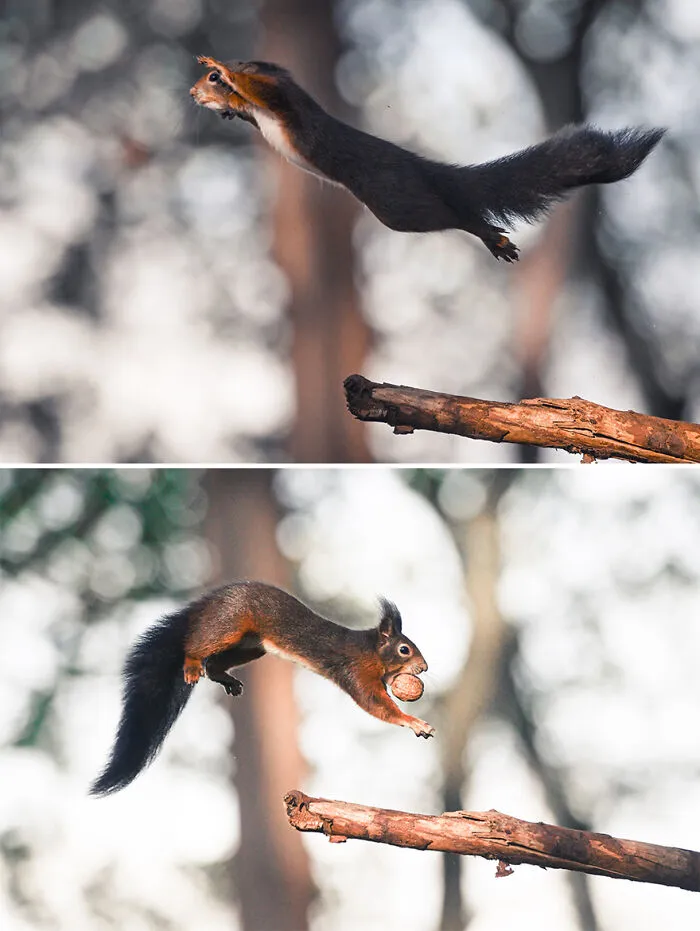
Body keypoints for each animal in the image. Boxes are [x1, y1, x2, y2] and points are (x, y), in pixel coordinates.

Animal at [91, 580, 433, 795]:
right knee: (195, 645)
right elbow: (375, 703)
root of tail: (209, 602)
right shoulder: (356, 672)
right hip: (227, 627)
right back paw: (190, 664)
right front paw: (414, 722)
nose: (425, 668)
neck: (370, 651)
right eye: (404, 649)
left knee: (214, 664)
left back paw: (226, 679)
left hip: (250, 646)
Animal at [190, 56, 665, 261]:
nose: (193, 93)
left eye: (210, 78)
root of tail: (420, 166)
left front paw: (227, 71)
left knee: (453, 214)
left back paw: (494, 239)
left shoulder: (282, 100)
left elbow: (262, 90)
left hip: (398, 205)